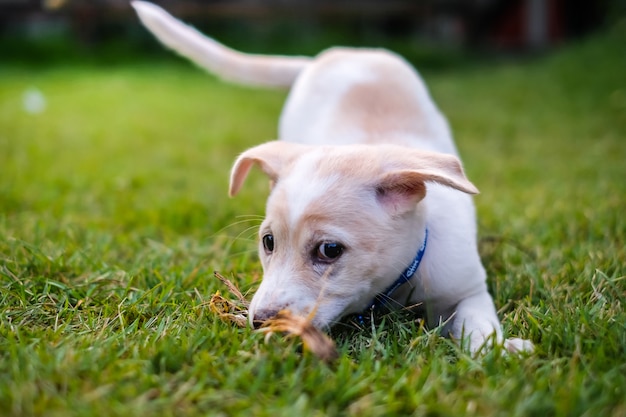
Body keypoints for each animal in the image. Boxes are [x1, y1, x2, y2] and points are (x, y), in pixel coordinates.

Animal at [132, 0, 532, 352]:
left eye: (329, 250)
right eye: (268, 243)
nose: (260, 322)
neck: (396, 285)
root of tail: (334, 54)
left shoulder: (468, 289)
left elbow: (477, 321)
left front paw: (498, 348)